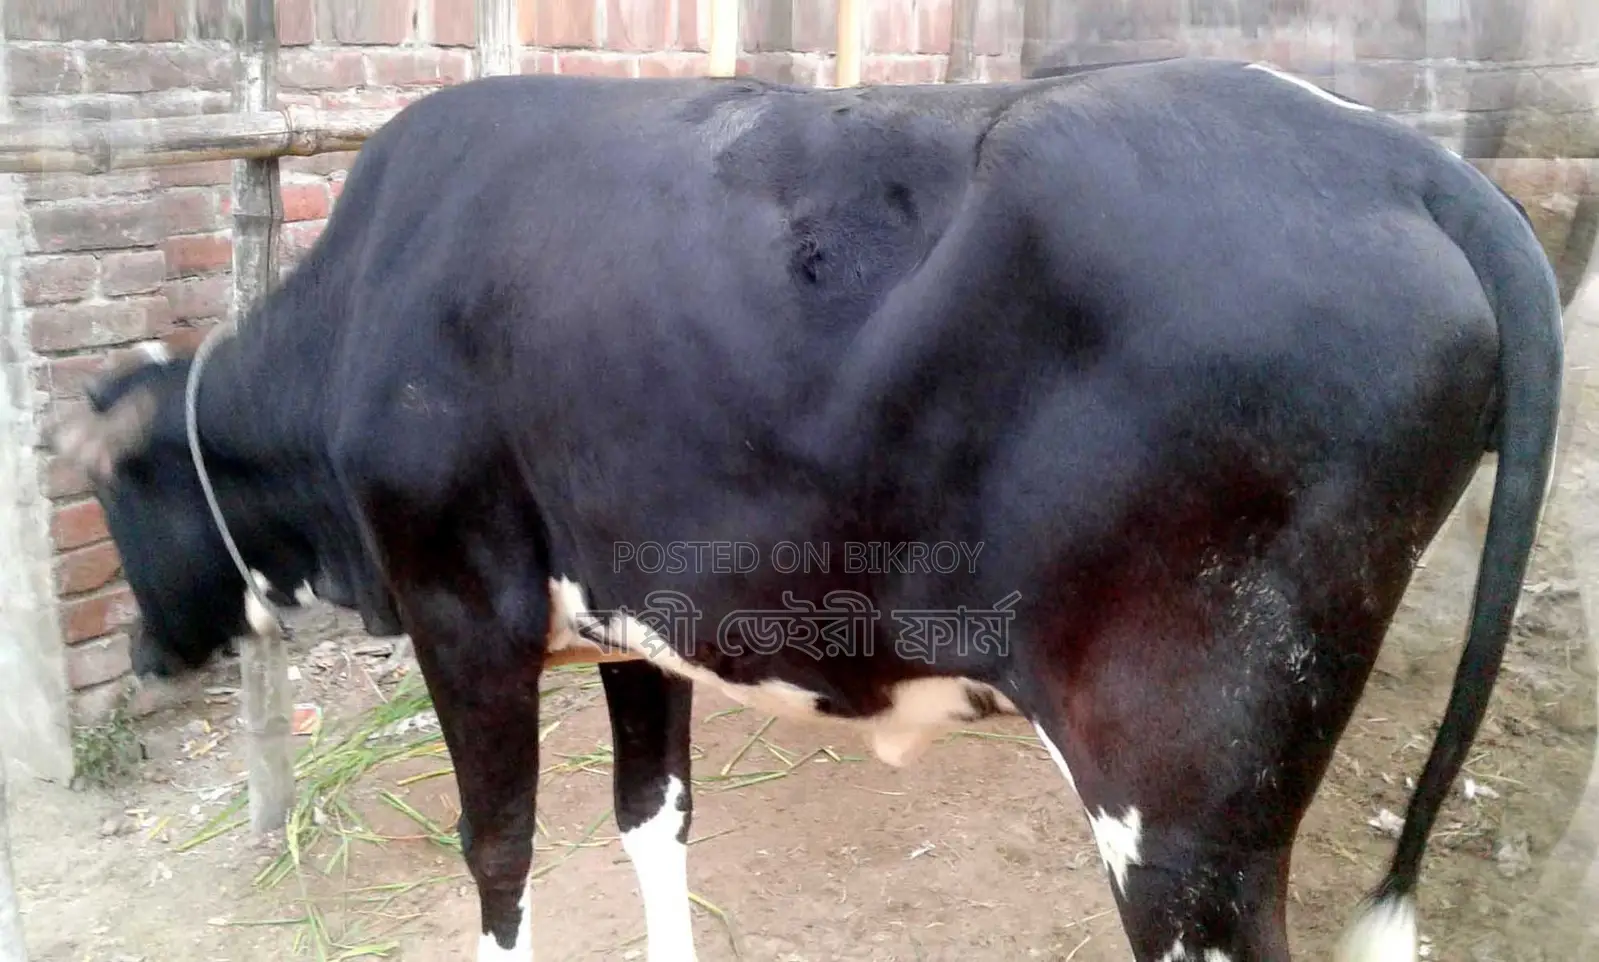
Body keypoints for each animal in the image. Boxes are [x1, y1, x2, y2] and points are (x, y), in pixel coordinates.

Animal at [45, 56, 1562, 962]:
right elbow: (650, 819)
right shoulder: (629, 617)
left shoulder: (459, 605)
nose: (140, 657)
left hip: (1191, 796)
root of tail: (1399, 159)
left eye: (111, 492)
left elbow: (499, 850)